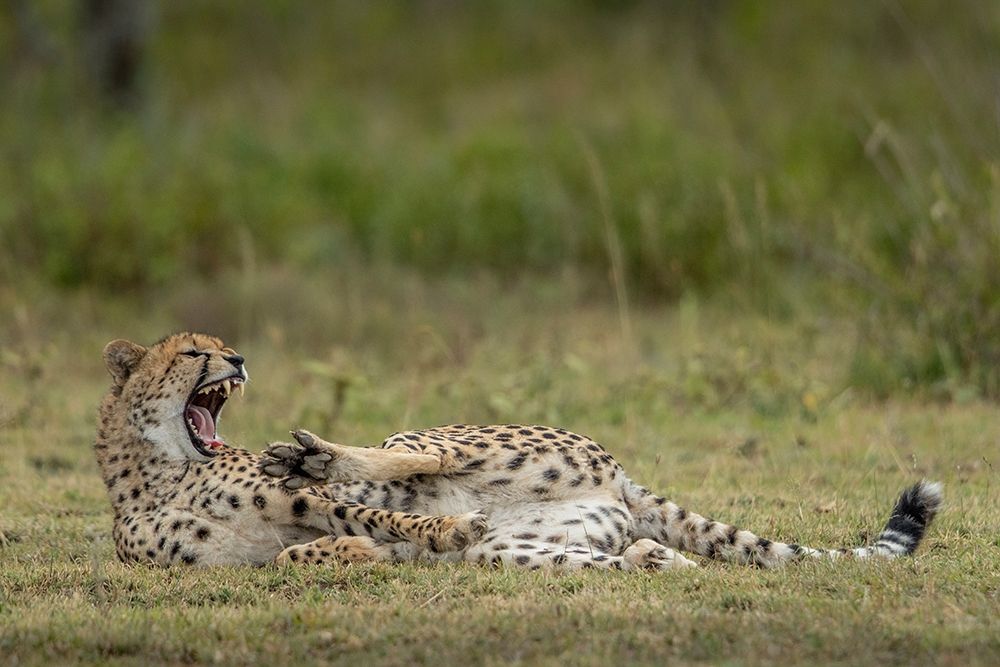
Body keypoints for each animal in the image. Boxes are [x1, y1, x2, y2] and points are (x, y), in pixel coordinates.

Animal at [96, 332, 942, 571]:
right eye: (192, 351)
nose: (237, 359)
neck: (164, 469)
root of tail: (620, 478)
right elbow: (296, 554)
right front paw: (347, 553)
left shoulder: (302, 505)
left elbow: (373, 519)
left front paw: (385, 531)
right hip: (528, 547)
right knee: (639, 559)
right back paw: (654, 561)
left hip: (451, 440)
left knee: (408, 459)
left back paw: (319, 453)